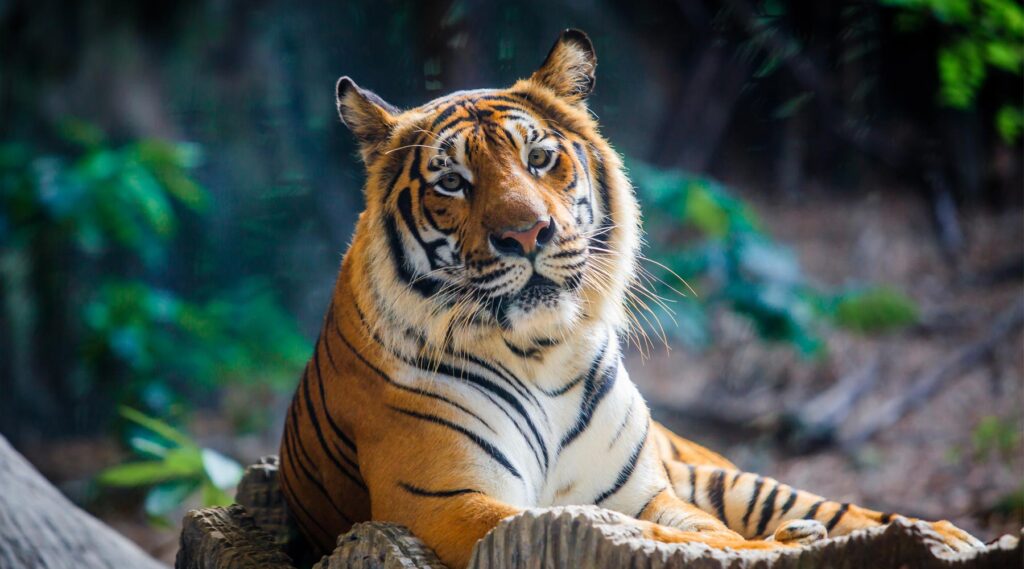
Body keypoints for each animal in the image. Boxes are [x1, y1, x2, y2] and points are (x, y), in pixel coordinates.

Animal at [278, 29, 984, 569]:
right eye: (452, 182)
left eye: (539, 159)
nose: (526, 235)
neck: (540, 354)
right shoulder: (448, 502)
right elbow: (679, 540)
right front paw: (774, 551)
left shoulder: (643, 490)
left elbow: (696, 531)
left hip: (714, 470)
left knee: (821, 505)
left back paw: (944, 536)